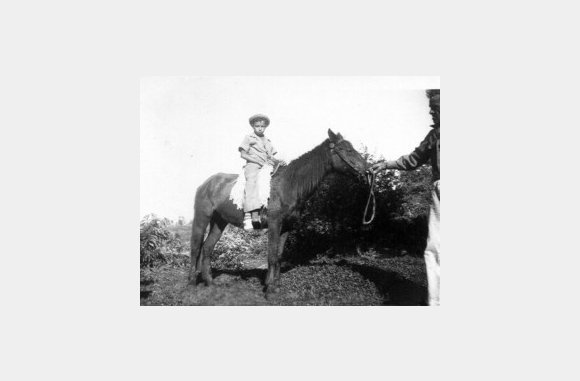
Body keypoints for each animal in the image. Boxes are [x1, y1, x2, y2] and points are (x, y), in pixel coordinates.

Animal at [189, 130, 368, 294]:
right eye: (347, 149)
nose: (367, 170)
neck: (289, 184)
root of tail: (205, 184)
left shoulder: (287, 226)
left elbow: (279, 255)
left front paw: (276, 284)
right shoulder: (274, 223)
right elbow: (272, 254)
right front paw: (269, 287)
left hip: (219, 221)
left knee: (207, 248)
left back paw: (209, 282)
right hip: (202, 218)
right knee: (196, 248)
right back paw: (191, 282)